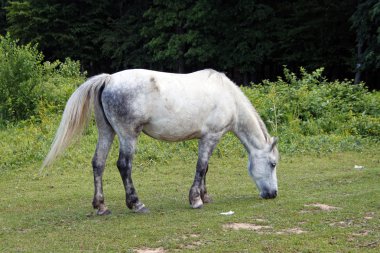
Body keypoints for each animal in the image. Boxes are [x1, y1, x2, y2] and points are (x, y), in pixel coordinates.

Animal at [42, 69, 280, 215]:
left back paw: (101, 206)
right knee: (123, 165)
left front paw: (205, 196)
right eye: (273, 164)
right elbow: (201, 167)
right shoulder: (211, 136)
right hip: (128, 135)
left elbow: (205, 168)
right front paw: (196, 199)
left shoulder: (206, 139)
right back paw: (136, 203)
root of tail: (108, 79)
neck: (228, 97)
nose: (273, 194)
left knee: (98, 163)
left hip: (106, 132)